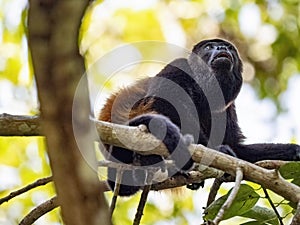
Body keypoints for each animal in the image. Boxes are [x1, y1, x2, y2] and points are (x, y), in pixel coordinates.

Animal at [99, 39, 300, 197]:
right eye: (210, 46)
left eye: (228, 47)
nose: (222, 48)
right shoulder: (179, 66)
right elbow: (167, 101)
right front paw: (218, 149)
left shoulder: (229, 106)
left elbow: (237, 147)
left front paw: (293, 151)